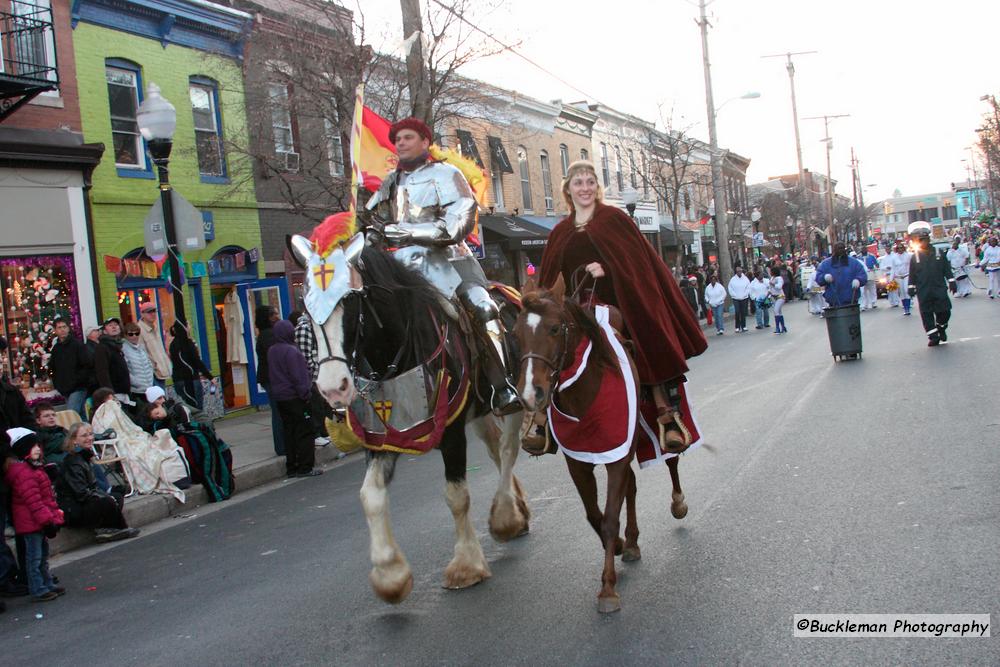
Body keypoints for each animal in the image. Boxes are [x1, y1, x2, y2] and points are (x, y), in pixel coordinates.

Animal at [516, 274, 688, 612]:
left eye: (554, 328)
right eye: (515, 334)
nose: (531, 394)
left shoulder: (616, 457)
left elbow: (609, 518)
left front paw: (608, 589)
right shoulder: (580, 462)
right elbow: (595, 516)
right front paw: (620, 545)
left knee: (671, 459)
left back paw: (677, 502)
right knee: (631, 487)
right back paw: (631, 542)